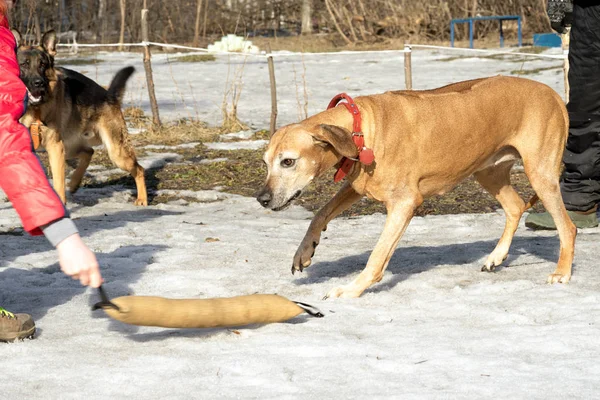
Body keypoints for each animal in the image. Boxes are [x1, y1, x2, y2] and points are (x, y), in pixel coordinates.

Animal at [256, 76, 576, 298]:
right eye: (266, 162)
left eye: (288, 161)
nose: (262, 199)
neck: (362, 129)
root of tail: (553, 94)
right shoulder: (356, 184)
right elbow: (320, 214)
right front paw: (304, 252)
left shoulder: (404, 204)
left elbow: (377, 256)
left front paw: (350, 290)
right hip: (489, 172)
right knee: (515, 207)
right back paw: (496, 257)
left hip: (540, 174)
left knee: (567, 227)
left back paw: (561, 272)